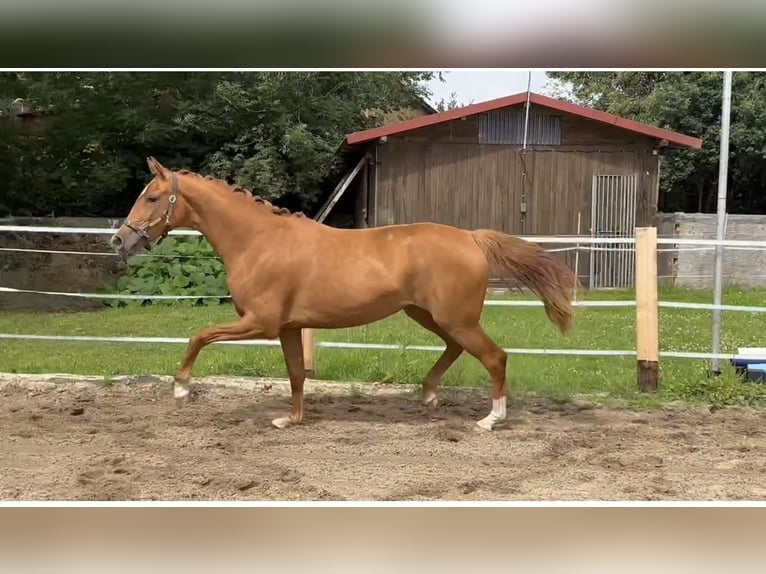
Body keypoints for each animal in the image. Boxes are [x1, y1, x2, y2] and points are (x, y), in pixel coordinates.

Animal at [111, 158, 580, 432]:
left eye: (152, 197)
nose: (119, 240)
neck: (258, 241)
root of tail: (470, 237)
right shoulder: (287, 328)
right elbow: (296, 374)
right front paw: (291, 419)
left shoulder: (259, 323)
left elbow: (199, 336)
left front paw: (181, 388)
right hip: (427, 315)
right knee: (456, 350)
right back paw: (429, 395)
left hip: (454, 318)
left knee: (495, 357)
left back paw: (490, 419)